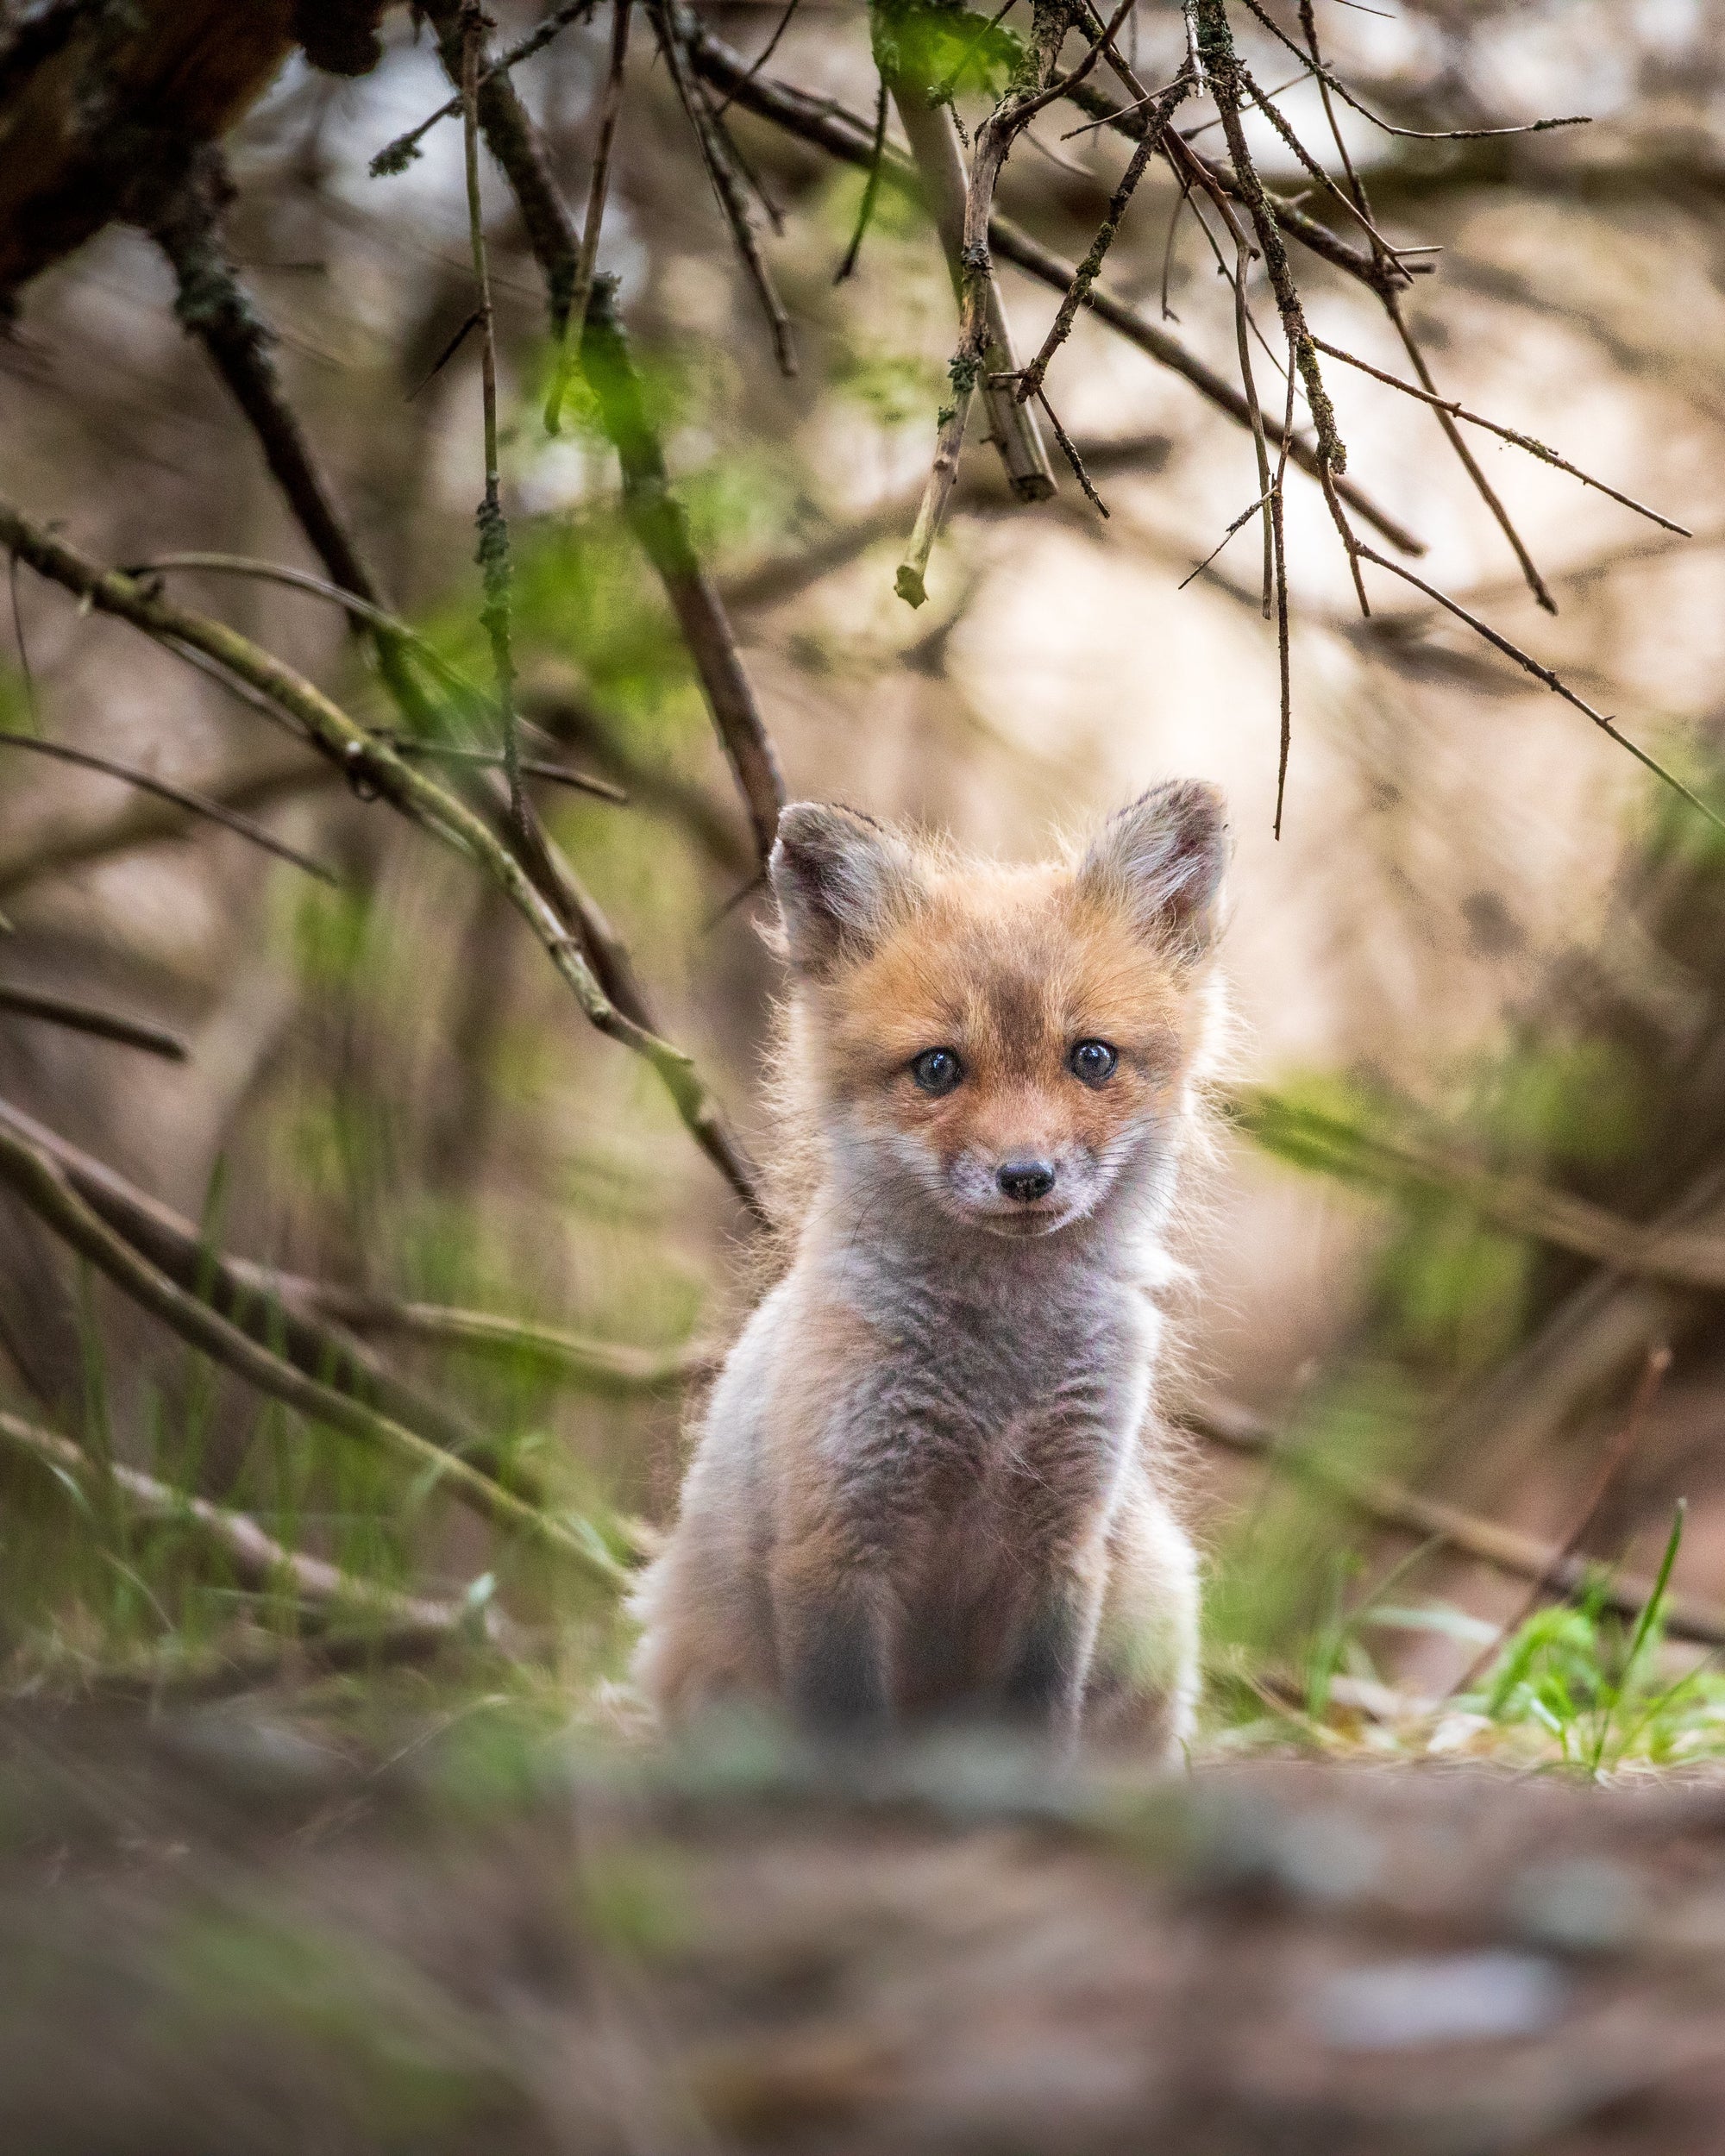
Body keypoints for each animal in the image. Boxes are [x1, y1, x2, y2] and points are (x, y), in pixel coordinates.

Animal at [634, 785, 1225, 1759]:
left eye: (1091, 1057)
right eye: (938, 1068)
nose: (1026, 1177)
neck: (995, 1383)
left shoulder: (1064, 1541)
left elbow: (1037, 1721)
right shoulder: (837, 1538)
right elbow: (848, 1734)